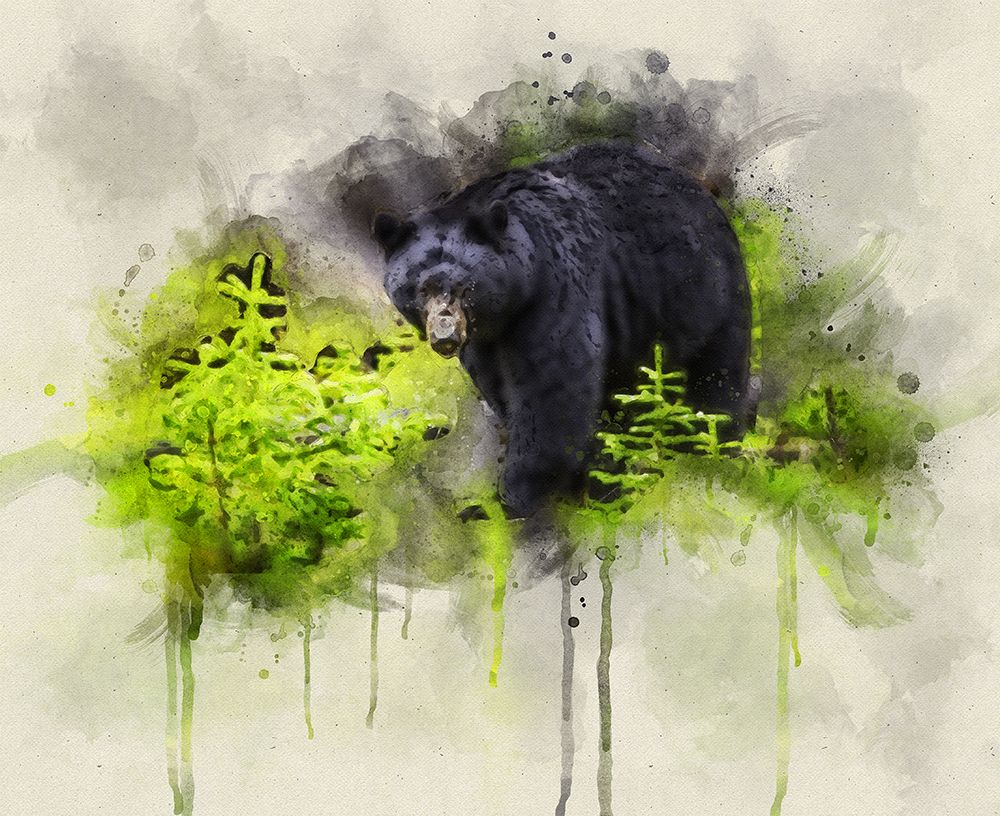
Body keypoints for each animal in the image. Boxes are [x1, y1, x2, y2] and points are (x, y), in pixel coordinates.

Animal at [371, 140, 755, 519]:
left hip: (702, 292)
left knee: (713, 379)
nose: (446, 336)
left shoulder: (556, 289)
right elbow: (500, 388)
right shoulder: (484, 342)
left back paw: (708, 450)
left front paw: (521, 492)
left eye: (468, 287)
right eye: (421, 288)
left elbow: (553, 389)